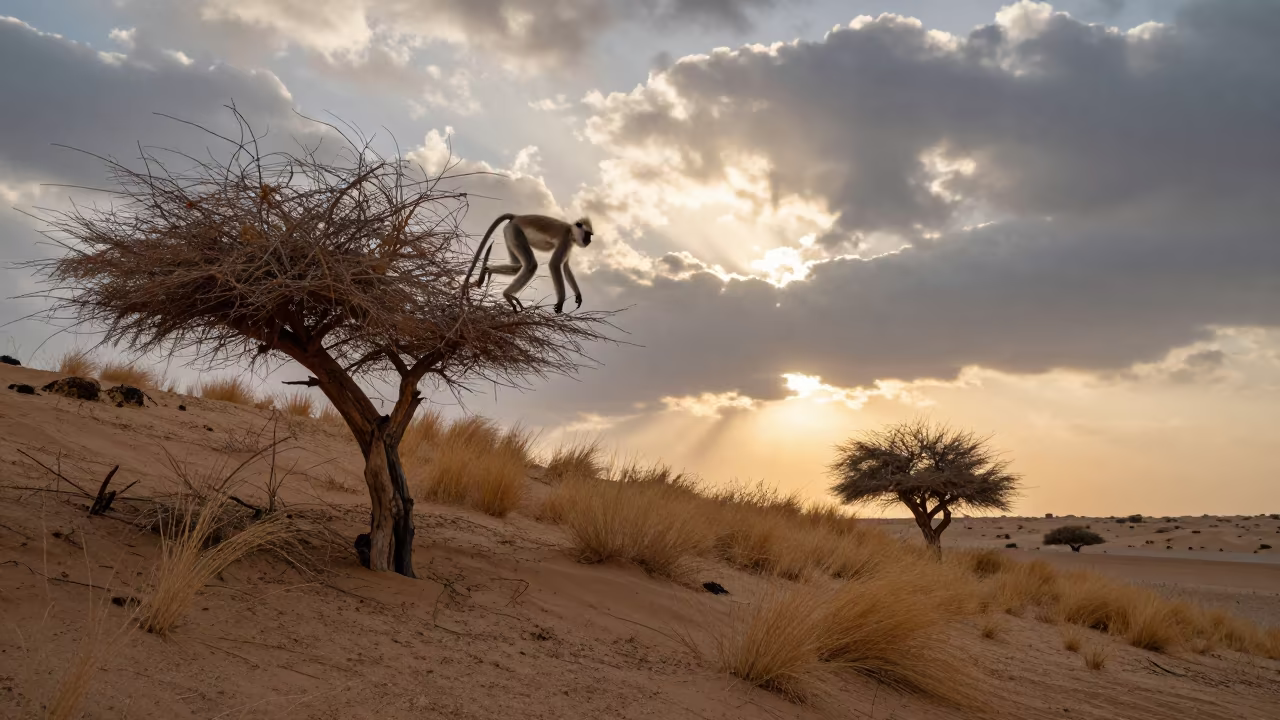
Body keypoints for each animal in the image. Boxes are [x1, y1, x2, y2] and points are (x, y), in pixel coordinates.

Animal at [464, 213, 592, 313]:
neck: (571, 231)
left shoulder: (570, 243)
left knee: (517, 266)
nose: (589, 241)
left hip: (509, 233)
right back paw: (506, 294)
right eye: (588, 235)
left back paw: (486, 270)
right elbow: (554, 265)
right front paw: (560, 301)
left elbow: (566, 267)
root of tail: (517, 217)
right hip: (515, 230)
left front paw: (578, 295)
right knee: (531, 265)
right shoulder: (565, 239)